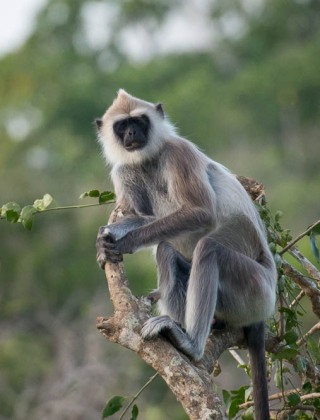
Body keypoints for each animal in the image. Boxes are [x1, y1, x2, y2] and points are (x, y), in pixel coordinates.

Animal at [94, 89, 276, 420]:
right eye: (121, 126)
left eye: (139, 121)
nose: (132, 134)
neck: (150, 160)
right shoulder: (124, 170)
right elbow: (141, 217)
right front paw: (106, 239)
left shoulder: (178, 154)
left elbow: (202, 213)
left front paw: (123, 243)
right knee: (166, 249)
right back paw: (180, 331)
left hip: (256, 290)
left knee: (207, 249)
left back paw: (190, 344)